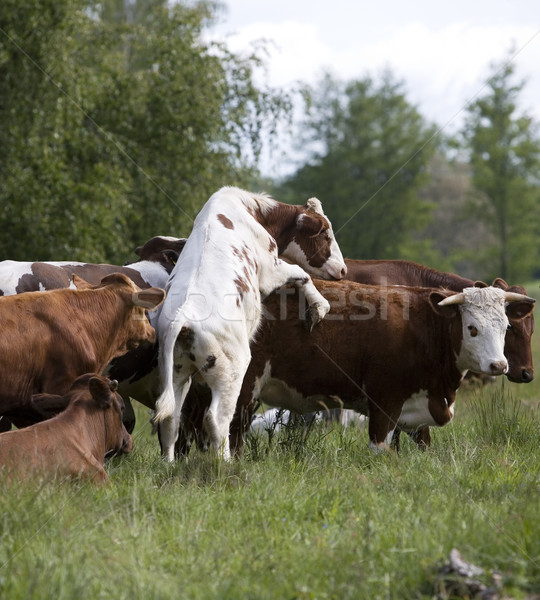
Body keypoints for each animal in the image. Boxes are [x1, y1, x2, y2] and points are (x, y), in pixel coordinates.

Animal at [152, 185, 346, 462]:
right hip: (231, 371)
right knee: (216, 419)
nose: (343, 270)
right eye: (325, 234)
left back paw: (168, 463)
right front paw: (319, 306)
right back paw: (225, 462)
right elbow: (302, 274)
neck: (251, 212)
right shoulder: (271, 270)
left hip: (177, 372)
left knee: (171, 418)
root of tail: (184, 317)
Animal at [174, 278, 536, 458]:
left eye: (506, 327)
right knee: (230, 433)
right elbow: (380, 449)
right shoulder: (385, 402)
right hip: (243, 390)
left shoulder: (418, 408)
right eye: (472, 328)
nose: (499, 364)